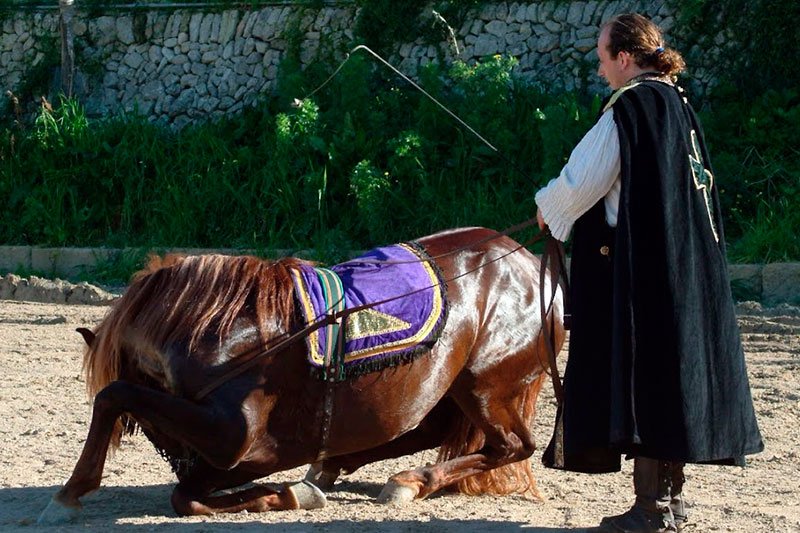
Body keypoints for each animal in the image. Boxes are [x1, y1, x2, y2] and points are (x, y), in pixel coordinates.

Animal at [38, 226, 566, 523]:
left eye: (146, 429)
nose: (183, 461)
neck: (227, 335)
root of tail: (530, 261)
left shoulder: (232, 441)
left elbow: (115, 397)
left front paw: (70, 493)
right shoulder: (229, 454)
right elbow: (187, 495)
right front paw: (289, 492)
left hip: (484, 385)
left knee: (512, 445)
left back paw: (408, 480)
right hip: (448, 389)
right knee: (428, 432)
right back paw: (336, 467)